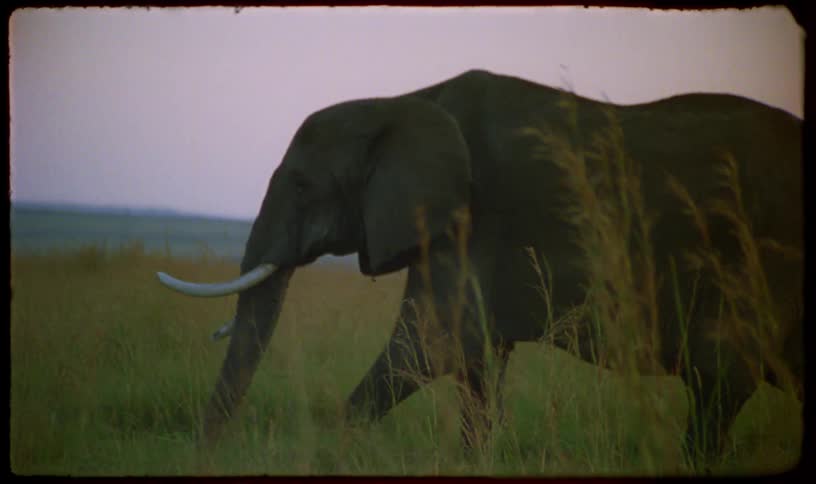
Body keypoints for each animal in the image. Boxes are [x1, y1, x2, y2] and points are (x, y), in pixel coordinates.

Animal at [157, 69, 802, 466]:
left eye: (300, 185)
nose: (203, 458)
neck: (405, 99)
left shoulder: (472, 219)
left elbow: (428, 347)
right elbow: (473, 372)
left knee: (718, 389)